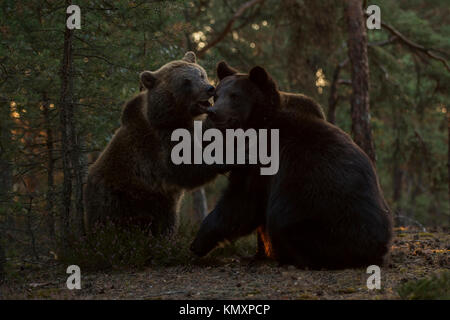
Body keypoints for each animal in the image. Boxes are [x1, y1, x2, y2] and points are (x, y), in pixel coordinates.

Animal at [83, 52, 227, 236]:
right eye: (186, 81)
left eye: (201, 74)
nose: (209, 88)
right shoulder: (158, 145)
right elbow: (188, 166)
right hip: (116, 197)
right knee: (108, 222)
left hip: (160, 204)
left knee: (165, 223)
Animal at [192, 61, 392, 268]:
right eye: (216, 95)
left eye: (235, 96)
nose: (213, 113)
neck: (256, 126)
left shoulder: (262, 161)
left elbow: (241, 201)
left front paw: (198, 242)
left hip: (314, 217)